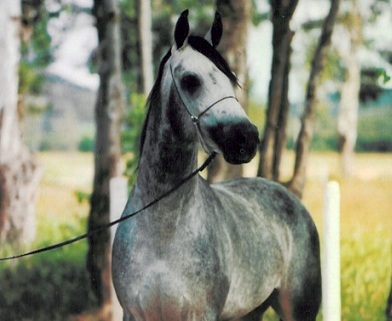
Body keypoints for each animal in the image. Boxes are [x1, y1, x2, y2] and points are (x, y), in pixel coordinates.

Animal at [112, 10, 320, 320]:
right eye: (190, 80)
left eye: (230, 80)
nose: (246, 138)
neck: (162, 234)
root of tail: (291, 200)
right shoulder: (134, 313)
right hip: (250, 312)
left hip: (298, 310)